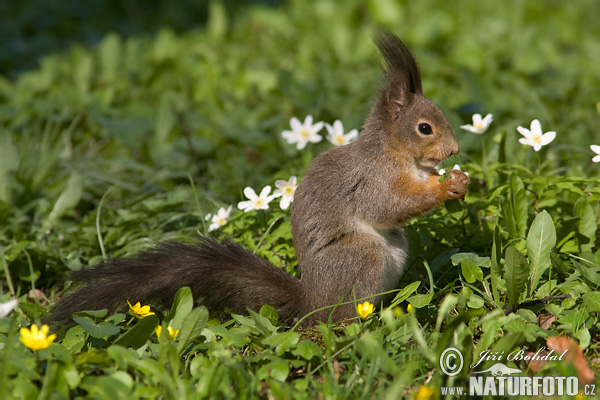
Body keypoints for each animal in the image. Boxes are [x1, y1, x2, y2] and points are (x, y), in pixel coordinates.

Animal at [45, 32, 468, 324]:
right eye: (425, 128)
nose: (454, 152)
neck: (395, 152)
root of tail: (312, 302)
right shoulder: (372, 178)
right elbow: (390, 205)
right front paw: (445, 187)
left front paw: (459, 181)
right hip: (359, 256)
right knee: (341, 316)